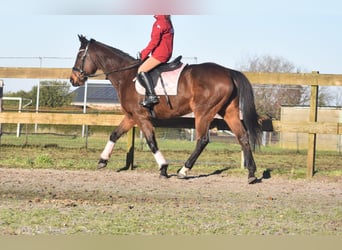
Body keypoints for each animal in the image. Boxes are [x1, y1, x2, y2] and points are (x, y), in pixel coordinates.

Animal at [69, 34, 262, 184]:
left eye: (79, 56)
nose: (73, 79)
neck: (126, 75)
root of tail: (228, 72)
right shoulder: (131, 117)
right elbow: (114, 134)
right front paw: (102, 160)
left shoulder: (141, 117)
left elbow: (151, 141)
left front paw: (163, 168)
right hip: (229, 112)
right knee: (243, 137)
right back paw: (251, 174)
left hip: (203, 112)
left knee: (202, 140)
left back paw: (183, 170)